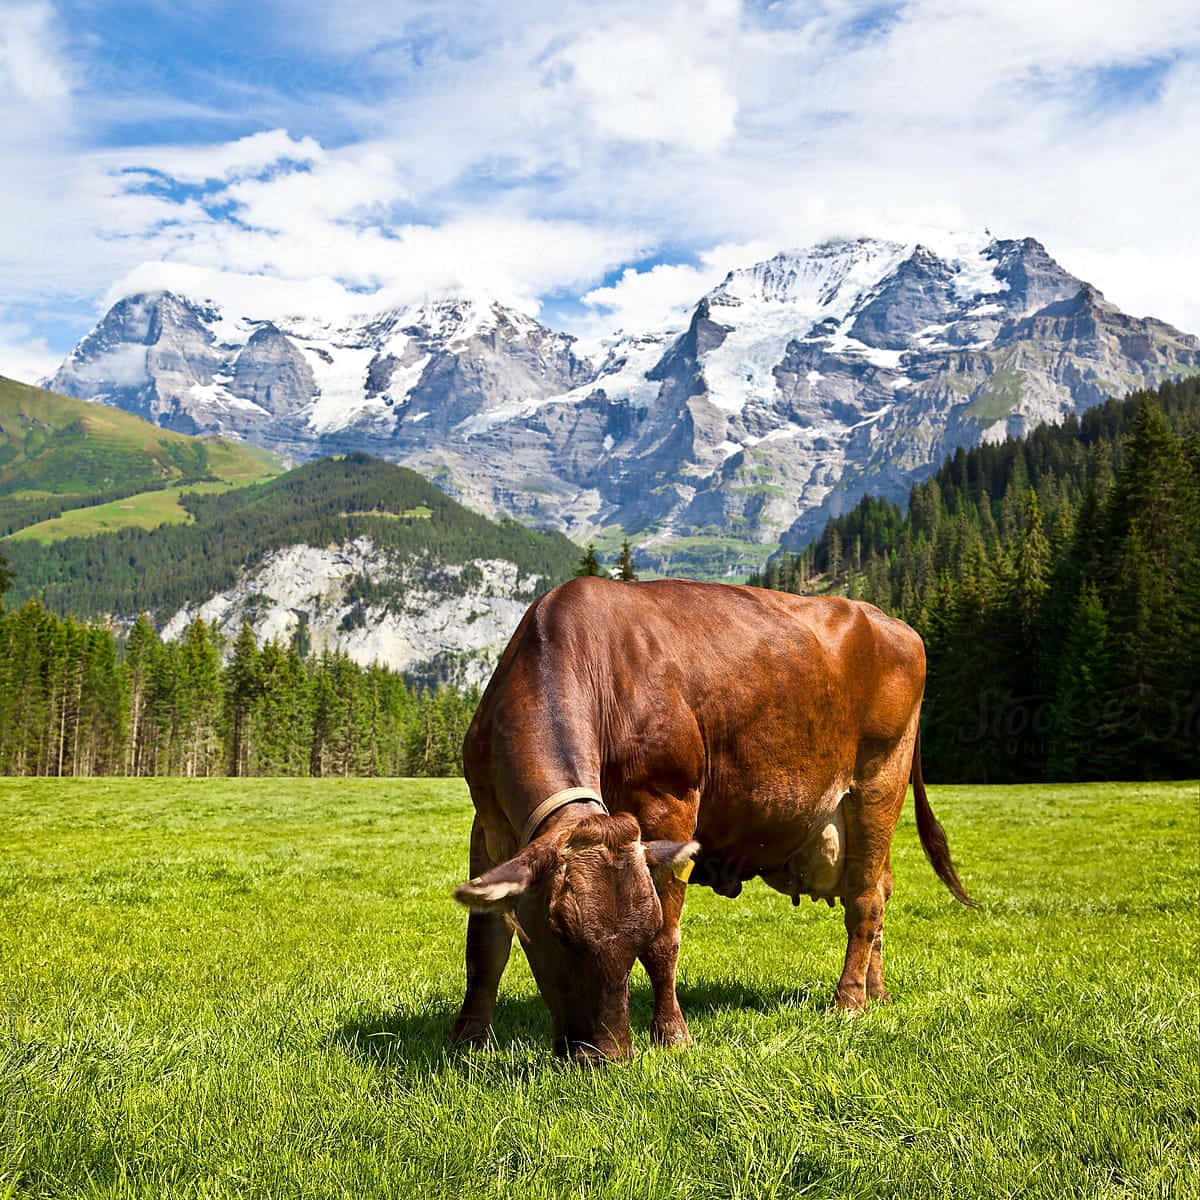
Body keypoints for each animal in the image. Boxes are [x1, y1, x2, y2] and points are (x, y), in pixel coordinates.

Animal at [451, 576, 974, 1062]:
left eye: (637, 933)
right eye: (559, 933)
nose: (609, 1056)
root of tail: (894, 623)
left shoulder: (669, 804)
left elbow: (665, 937)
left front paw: (671, 1035)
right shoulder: (490, 825)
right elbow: (484, 943)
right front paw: (468, 1041)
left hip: (878, 782)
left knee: (864, 901)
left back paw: (849, 1002)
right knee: (881, 890)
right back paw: (877, 991)